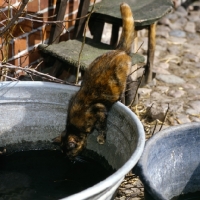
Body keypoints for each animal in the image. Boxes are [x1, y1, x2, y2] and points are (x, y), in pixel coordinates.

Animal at [55, 1, 134, 158]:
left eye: (70, 154)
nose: (70, 160)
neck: (75, 124)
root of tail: (120, 50)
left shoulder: (100, 110)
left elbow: (103, 127)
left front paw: (101, 139)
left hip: (122, 81)